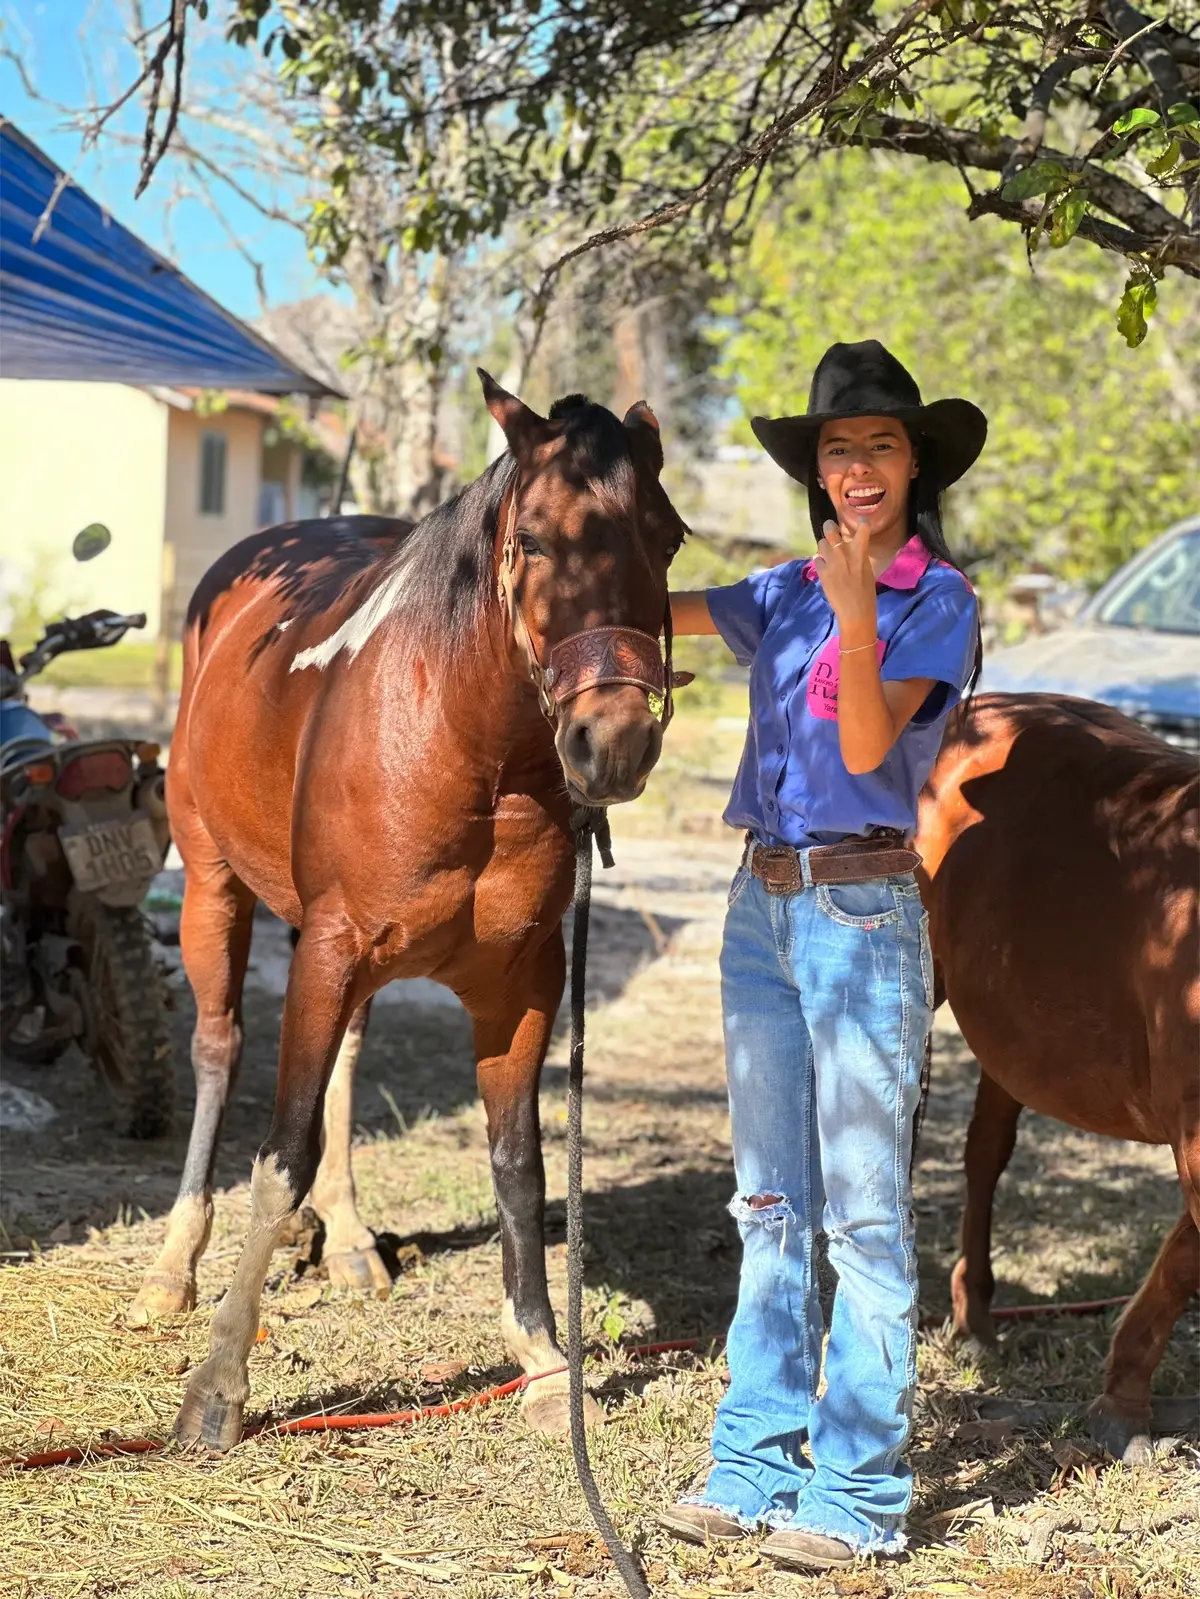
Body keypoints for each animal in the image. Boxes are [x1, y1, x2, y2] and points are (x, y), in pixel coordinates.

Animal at [127, 374, 691, 1451]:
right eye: (535, 540)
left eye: (670, 537)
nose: (614, 741)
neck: (466, 742)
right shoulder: (329, 949)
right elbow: (281, 1153)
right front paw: (218, 1385)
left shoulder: (523, 979)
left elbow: (519, 1165)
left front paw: (543, 1358)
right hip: (216, 890)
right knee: (218, 1049)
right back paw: (173, 1267)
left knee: (347, 1055)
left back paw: (347, 1239)